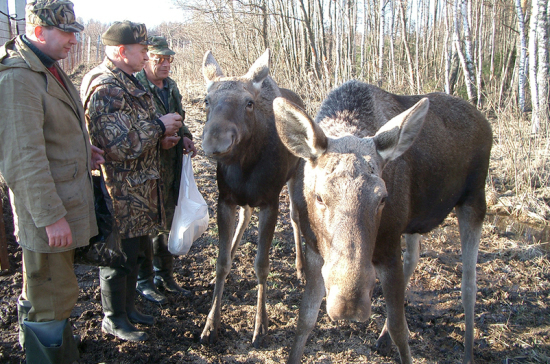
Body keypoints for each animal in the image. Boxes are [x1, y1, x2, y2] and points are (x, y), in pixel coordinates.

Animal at [201, 49, 308, 346]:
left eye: (249, 103)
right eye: (206, 100)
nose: (215, 142)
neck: (244, 166)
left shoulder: (269, 203)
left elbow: (262, 265)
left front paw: (260, 325)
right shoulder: (224, 199)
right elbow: (221, 262)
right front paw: (211, 322)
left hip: (297, 175)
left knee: (295, 217)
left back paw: (301, 268)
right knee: (244, 217)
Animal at [276, 80, 496, 364]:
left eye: (382, 197)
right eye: (319, 196)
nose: (349, 303)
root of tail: (484, 120)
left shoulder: (389, 248)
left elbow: (399, 328)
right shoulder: (315, 251)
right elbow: (304, 320)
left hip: (474, 199)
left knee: (469, 282)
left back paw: (468, 352)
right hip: (416, 221)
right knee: (415, 257)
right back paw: (382, 337)